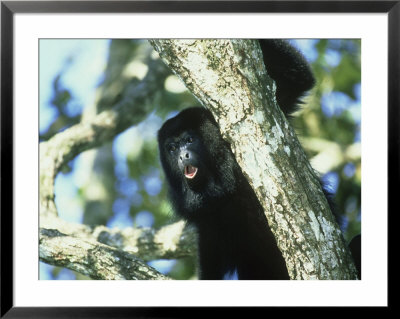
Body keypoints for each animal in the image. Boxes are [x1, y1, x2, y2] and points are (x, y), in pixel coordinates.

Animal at [157, 39, 360, 280]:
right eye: (171, 148)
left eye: (189, 139)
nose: (182, 155)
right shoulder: (207, 218)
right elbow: (210, 251)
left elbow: (298, 80)